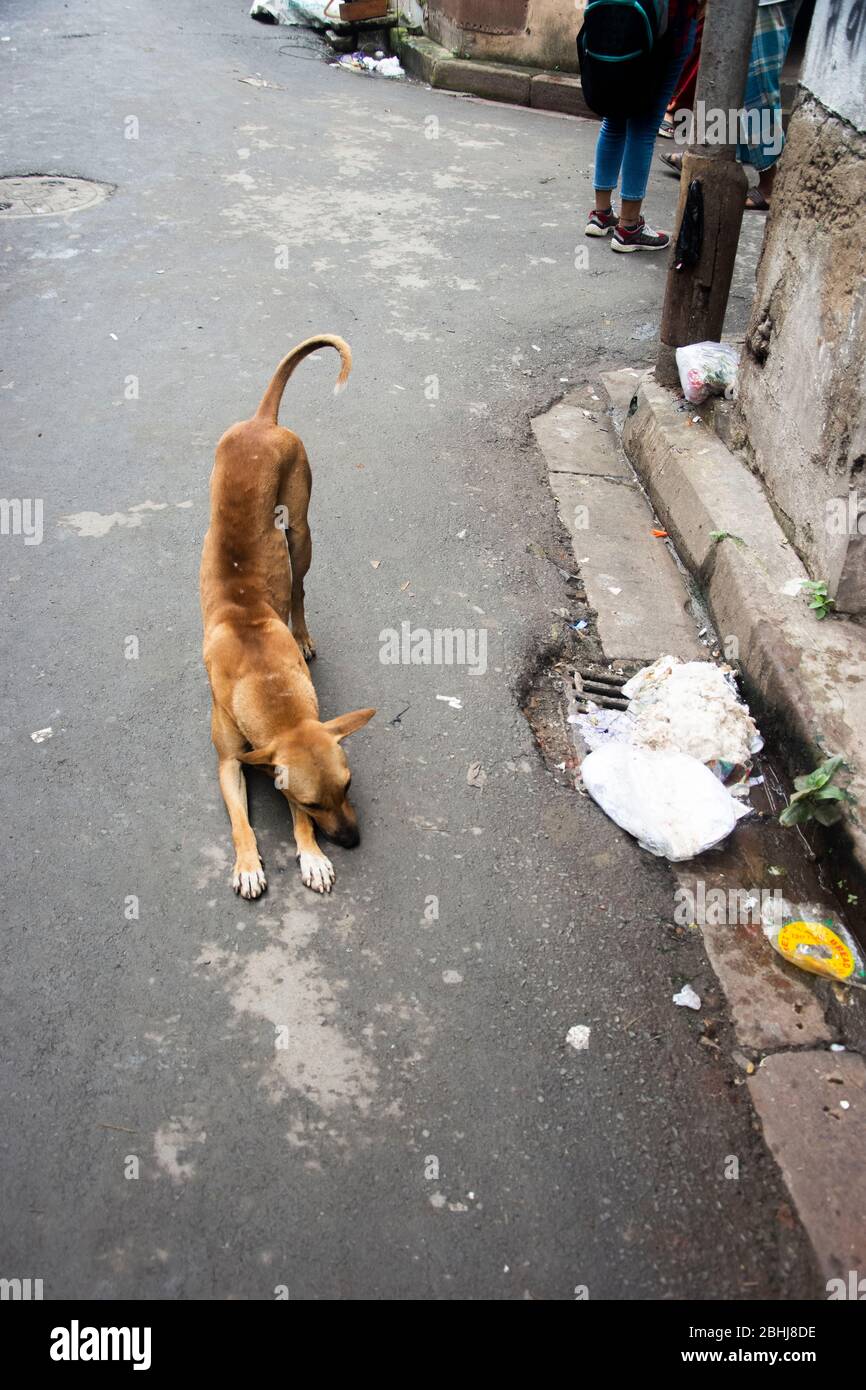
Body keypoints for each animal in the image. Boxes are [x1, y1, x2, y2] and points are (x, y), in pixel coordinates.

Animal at [202, 340, 378, 895]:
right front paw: (248, 863)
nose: (352, 842)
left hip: (299, 531)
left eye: (349, 785)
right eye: (311, 800)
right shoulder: (229, 762)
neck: (263, 677)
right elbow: (240, 820)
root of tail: (262, 421)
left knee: (299, 588)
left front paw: (310, 853)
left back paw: (301, 633)